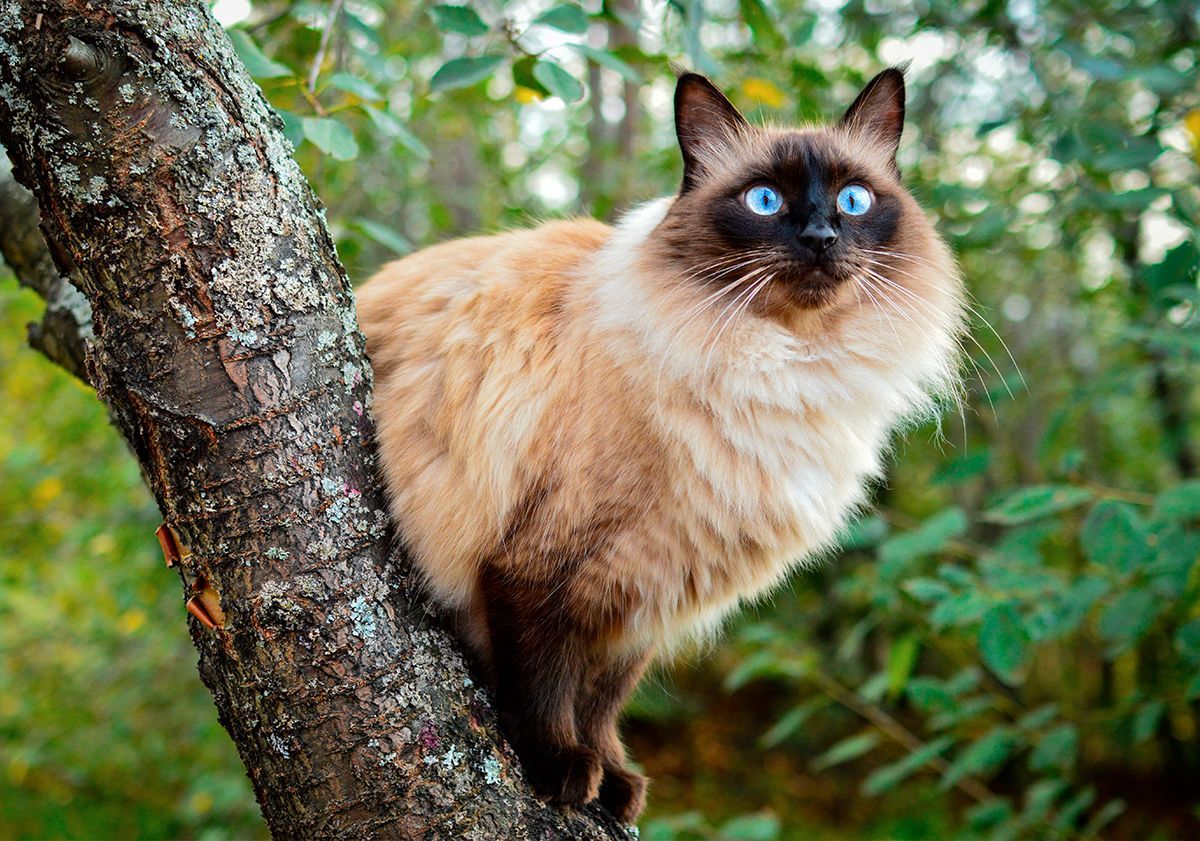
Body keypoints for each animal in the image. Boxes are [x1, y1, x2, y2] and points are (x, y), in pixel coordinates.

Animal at [355, 68, 964, 825]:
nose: (821, 235)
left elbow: (601, 702)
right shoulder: (541, 567)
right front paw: (560, 768)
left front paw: (614, 781)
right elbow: (544, 685)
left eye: (854, 201)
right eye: (764, 201)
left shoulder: (647, 588)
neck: (787, 370)